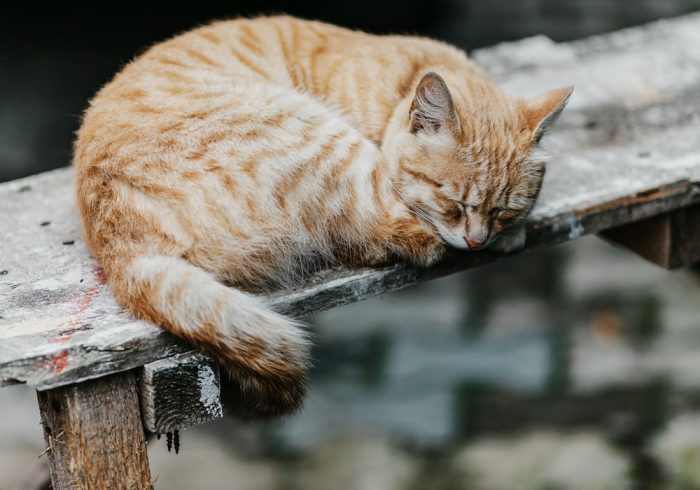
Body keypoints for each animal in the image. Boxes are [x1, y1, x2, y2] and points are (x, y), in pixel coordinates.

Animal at [72, 15, 576, 416]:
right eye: (452, 202)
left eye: (504, 210)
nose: (477, 241)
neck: (402, 80)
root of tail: (122, 247)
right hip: (323, 138)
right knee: (387, 237)